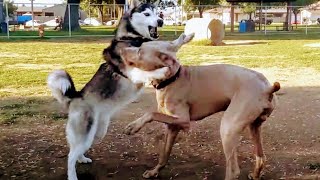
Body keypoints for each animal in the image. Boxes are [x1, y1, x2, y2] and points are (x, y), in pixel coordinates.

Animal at [47, 0, 165, 179]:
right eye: (147, 14)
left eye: (157, 13)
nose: (161, 21)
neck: (132, 38)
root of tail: (76, 97)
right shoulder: (134, 73)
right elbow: (151, 71)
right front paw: (164, 70)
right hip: (86, 132)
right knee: (70, 156)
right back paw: (72, 175)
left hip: (97, 132)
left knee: (76, 150)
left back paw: (82, 159)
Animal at [120, 33, 280, 179]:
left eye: (140, 50)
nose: (121, 49)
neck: (173, 79)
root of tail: (267, 88)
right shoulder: (172, 127)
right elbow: (164, 154)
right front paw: (154, 172)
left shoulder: (184, 121)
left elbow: (151, 113)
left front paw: (133, 126)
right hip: (254, 126)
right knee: (261, 157)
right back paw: (255, 174)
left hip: (228, 128)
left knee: (234, 171)